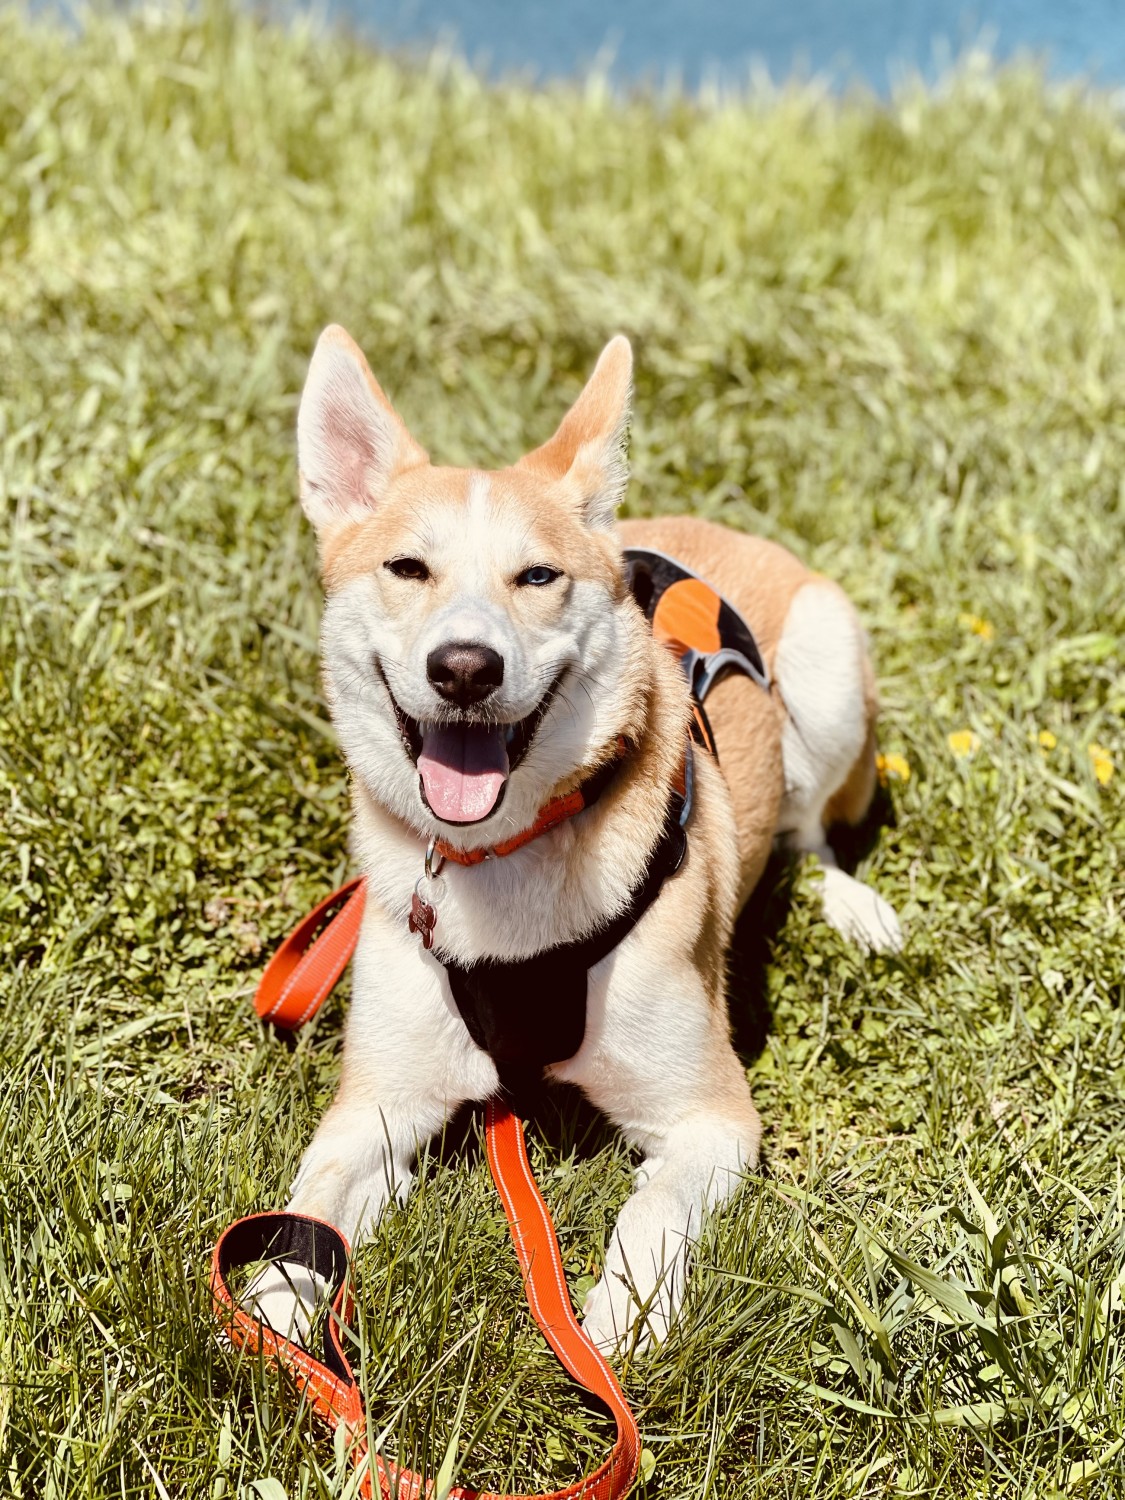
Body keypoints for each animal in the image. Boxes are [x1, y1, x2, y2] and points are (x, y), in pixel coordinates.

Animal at [250, 322, 906, 1356]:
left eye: (537, 576)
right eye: (407, 569)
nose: (465, 668)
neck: (501, 863)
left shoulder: (710, 1116)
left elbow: (655, 1208)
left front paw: (621, 1317)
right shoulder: (376, 1107)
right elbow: (307, 1215)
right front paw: (273, 1314)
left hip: (828, 671)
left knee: (810, 829)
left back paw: (850, 902)